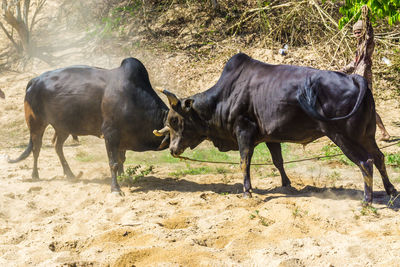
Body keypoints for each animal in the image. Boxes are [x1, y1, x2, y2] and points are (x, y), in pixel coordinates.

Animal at [9, 57, 169, 194]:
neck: (132, 98)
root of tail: (34, 81)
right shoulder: (110, 134)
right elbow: (114, 163)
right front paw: (115, 188)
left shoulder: (122, 138)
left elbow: (121, 160)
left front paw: (124, 178)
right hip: (36, 124)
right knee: (36, 148)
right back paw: (35, 175)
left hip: (63, 128)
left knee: (57, 146)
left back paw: (70, 175)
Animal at [155, 52, 396, 205]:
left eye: (175, 120)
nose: (173, 150)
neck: (225, 96)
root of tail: (356, 79)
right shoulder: (271, 137)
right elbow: (278, 161)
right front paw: (287, 184)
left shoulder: (244, 131)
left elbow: (244, 162)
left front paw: (247, 191)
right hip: (367, 135)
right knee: (380, 157)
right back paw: (391, 191)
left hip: (343, 136)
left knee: (366, 162)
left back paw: (367, 200)